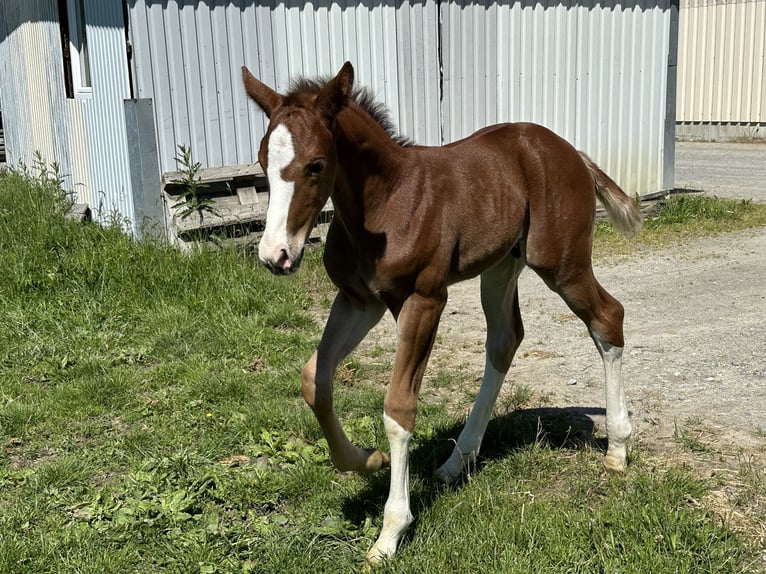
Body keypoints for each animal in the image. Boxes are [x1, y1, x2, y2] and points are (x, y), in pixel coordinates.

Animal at [244, 62, 640, 564]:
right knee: (505, 339)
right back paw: (457, 461)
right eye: (263, 163)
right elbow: (315, 379)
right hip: (501, 266)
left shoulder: (424, 299)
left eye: (316, 164)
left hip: (560, 262)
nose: (274, 255)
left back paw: (618, 447)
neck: (386, 203)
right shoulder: (359, 300)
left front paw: (390, 533)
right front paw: (367, 459)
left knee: (608, 316)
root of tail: (571, 152)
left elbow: (398, 407)